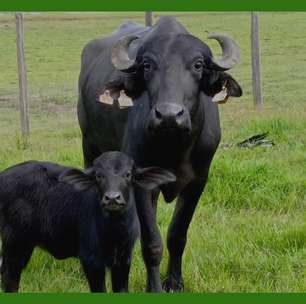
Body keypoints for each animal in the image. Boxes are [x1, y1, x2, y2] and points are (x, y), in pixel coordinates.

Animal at [0, 152, 175, 292]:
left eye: (128, 174)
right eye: (98, 175)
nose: (112, 198)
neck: (114, 232)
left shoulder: (123, 261)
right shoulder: (92, 262)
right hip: (16, 243)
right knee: (10, 278)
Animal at [77, 16, 243, 292]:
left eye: (198, 64)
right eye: (147, 65)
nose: (168, 114)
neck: (174, 146)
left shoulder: (198, 181)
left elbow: (177, 234)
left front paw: (174, 282)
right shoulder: (141, 184)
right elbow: (152, 242)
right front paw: (153, 287)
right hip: (89, 146)